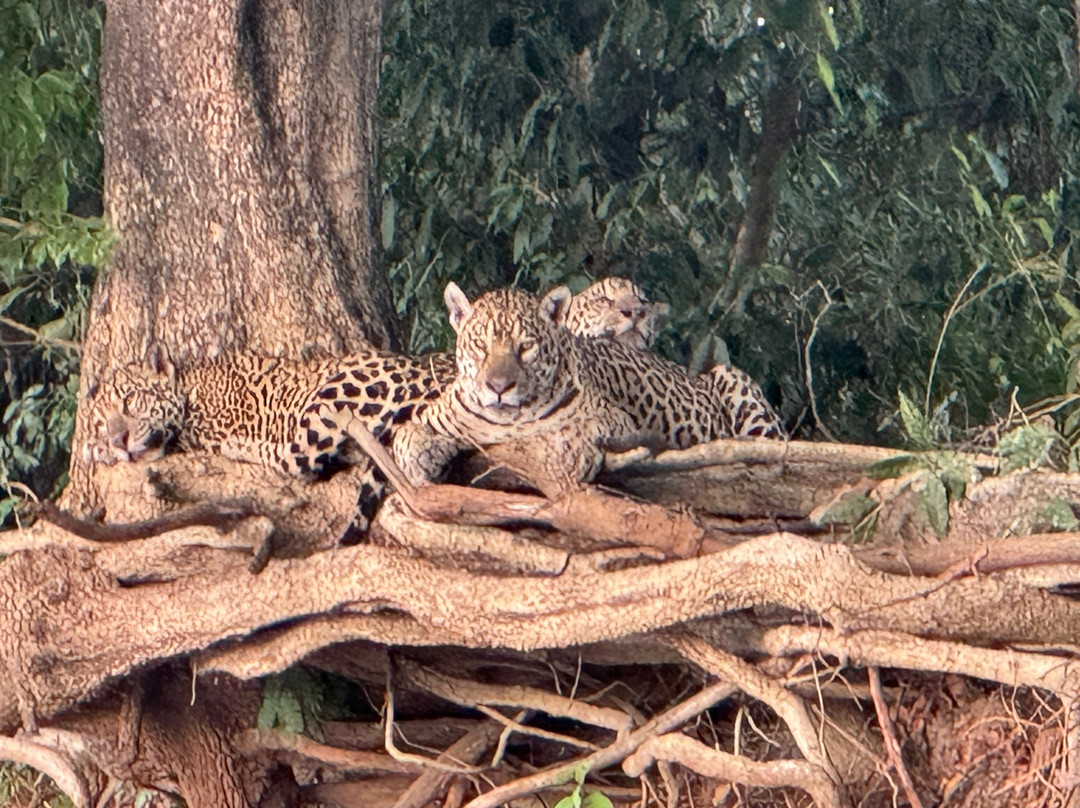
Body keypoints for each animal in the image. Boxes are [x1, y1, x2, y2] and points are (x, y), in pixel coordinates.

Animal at [390, 283, 755, 499]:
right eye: (481, 346)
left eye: (526, 347)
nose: (499, 387)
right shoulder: (435, 416)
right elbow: (405, 435)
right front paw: (419, 460)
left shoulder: (617, 419)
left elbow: (575, 429)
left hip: (734, 381)